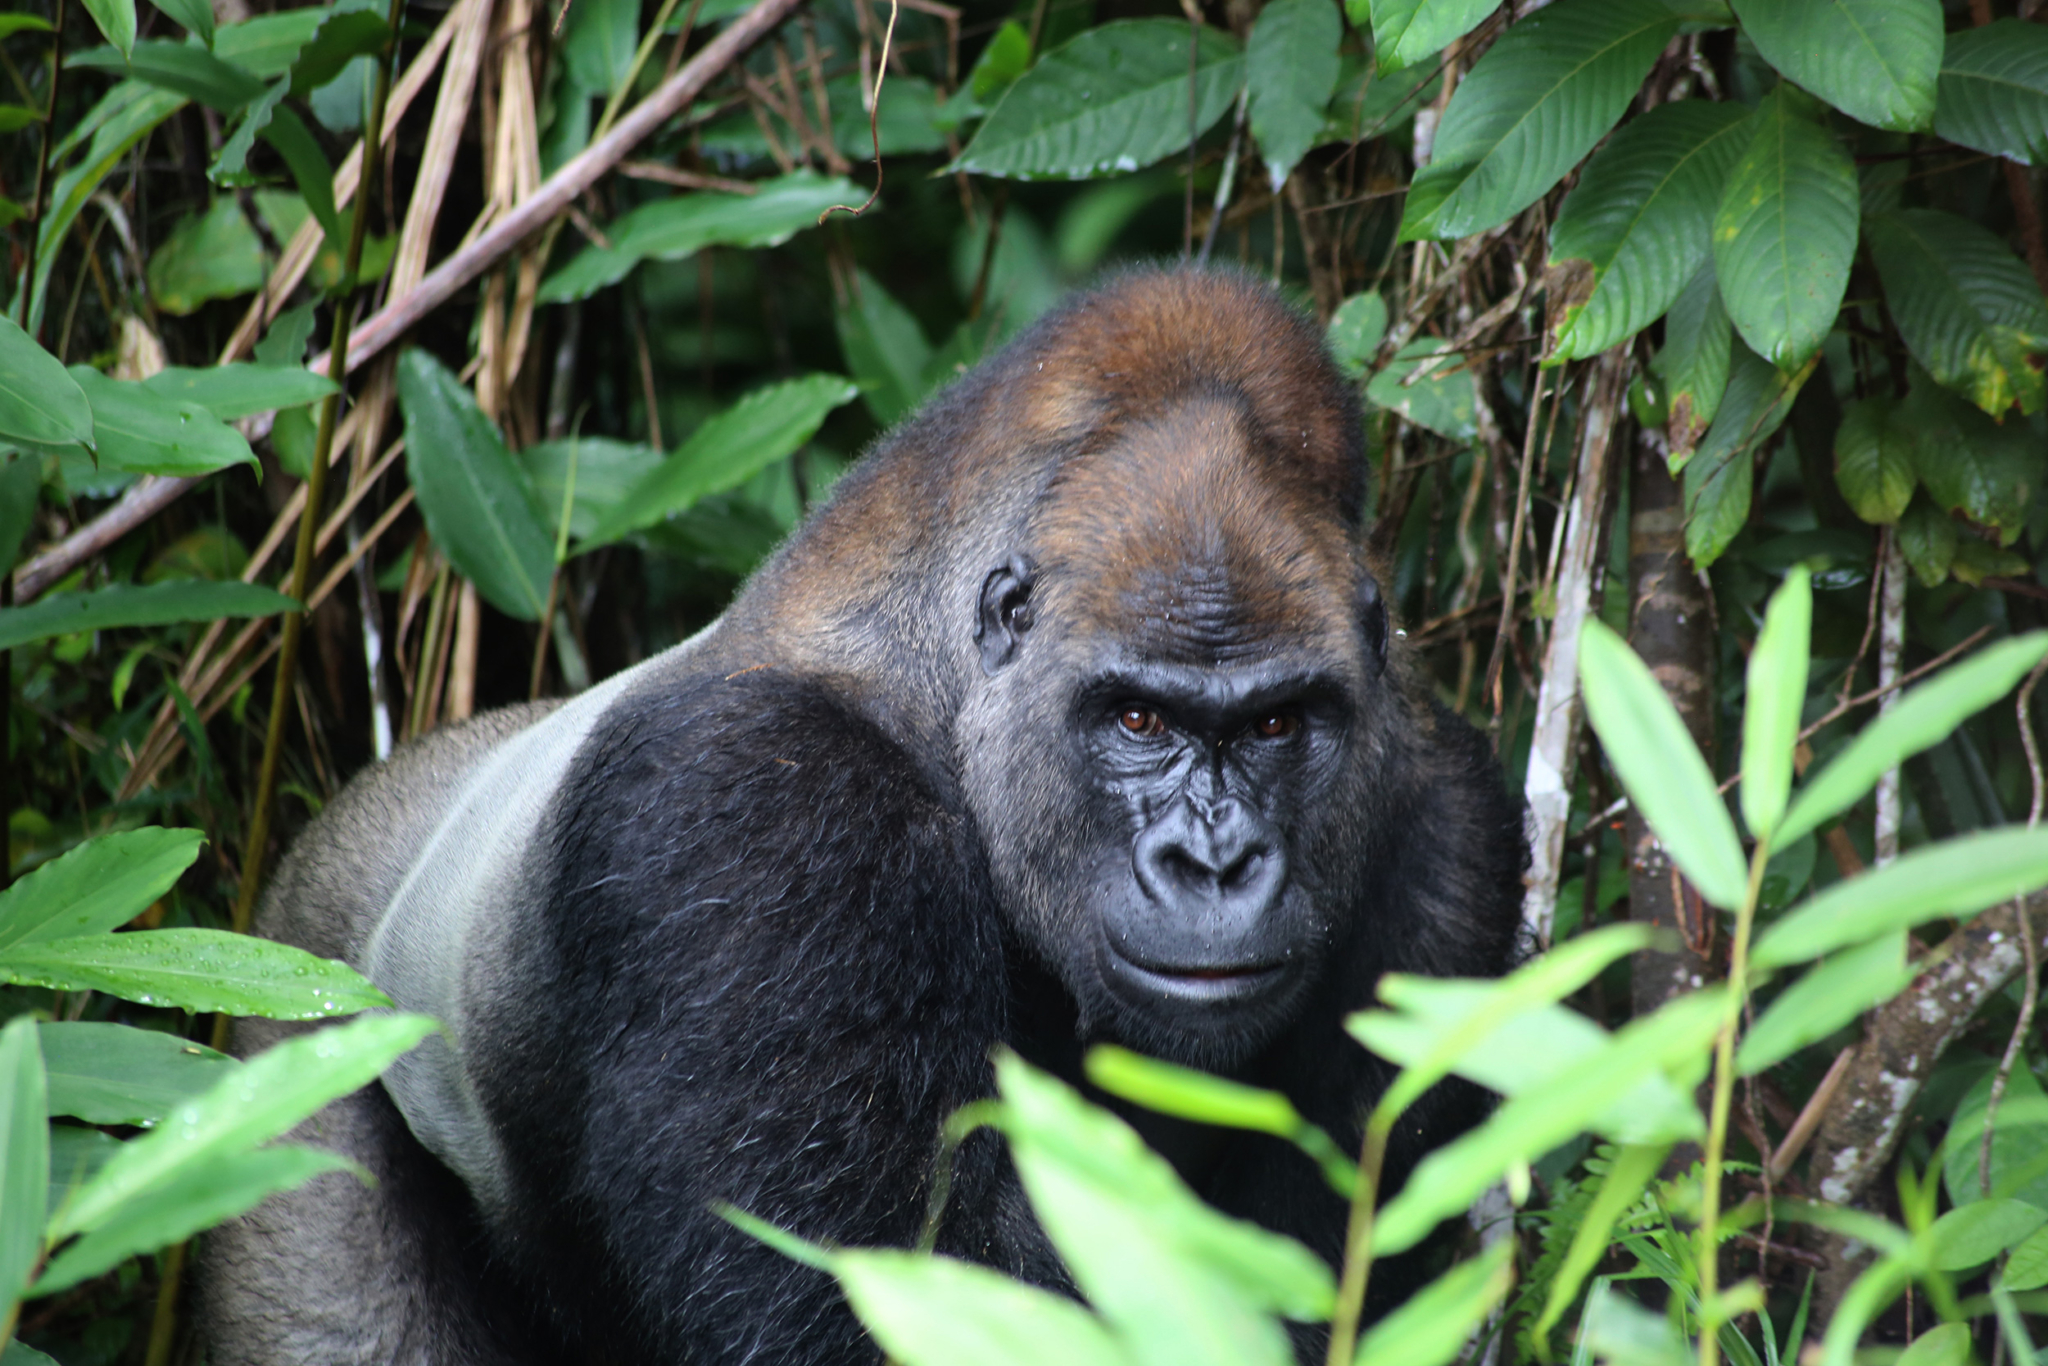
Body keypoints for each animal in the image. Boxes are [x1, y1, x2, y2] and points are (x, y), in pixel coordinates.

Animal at [198, 267, 1525, 1366]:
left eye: (1275, 725)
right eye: (1137, 720)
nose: (1215, 861)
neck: (939, 681)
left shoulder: (1444, 827)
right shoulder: (767, 811)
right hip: (290, 1025)